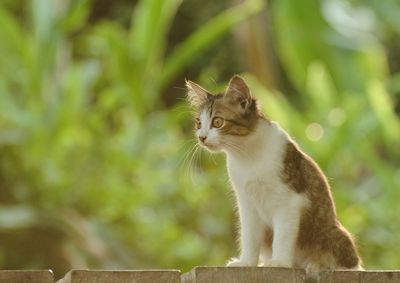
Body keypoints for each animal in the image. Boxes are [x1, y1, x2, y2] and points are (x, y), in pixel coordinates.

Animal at [184, 75, 362, 276]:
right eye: (199, 123)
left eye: (217, 122)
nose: (201, 137)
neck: (247, 155)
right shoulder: (246, 202)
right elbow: (249, 235)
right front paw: (247, 262)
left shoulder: (291, 200)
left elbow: (283, 234)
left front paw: (280, 262)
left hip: (329, 232)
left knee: (349, 263)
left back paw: (319, 264)